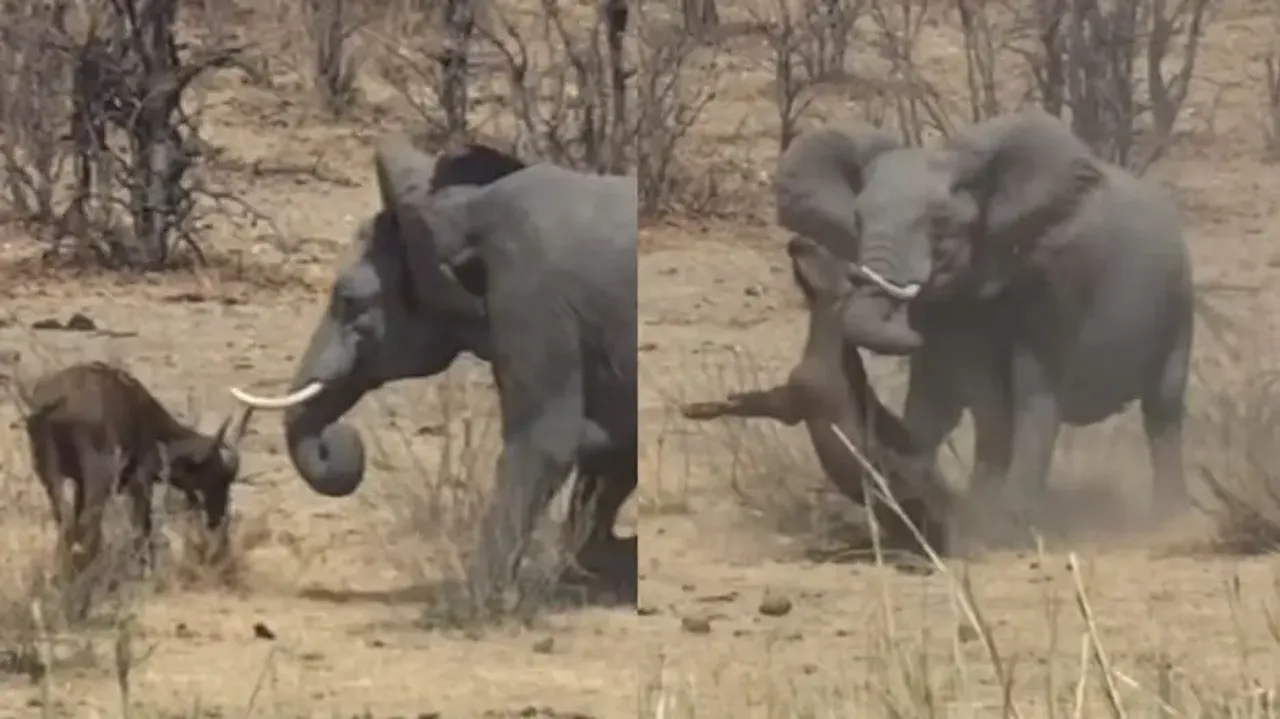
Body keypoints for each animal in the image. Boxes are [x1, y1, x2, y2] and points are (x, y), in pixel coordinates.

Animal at [229, 136, 637, 606]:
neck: (461, 207)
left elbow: (546, 443)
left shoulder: (533, 295)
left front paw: (480, 600)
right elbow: (608, 458)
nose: (337, 442)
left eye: (349, 301)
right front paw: (592, 573)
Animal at [773, 109, 1194, 521]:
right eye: (857, 219)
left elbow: (1029, 395)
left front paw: (1008, 519)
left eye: (940, 223)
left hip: (1178, 301)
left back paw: (1169, 516)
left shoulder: (1053, 287)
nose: (798, 250)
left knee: (1163, 409)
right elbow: (956, 399)